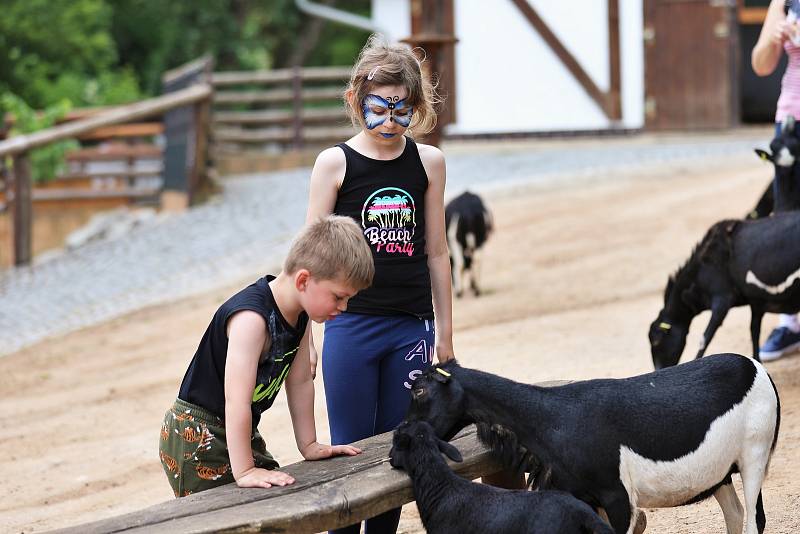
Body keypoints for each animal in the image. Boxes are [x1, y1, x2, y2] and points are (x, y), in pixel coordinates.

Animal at [648, 211, 800, 370]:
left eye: (656, 341)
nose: (659, 368)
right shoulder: (756, 301)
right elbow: (754, 331)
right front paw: (757, 361)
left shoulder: (722, 299)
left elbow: (705, 337)